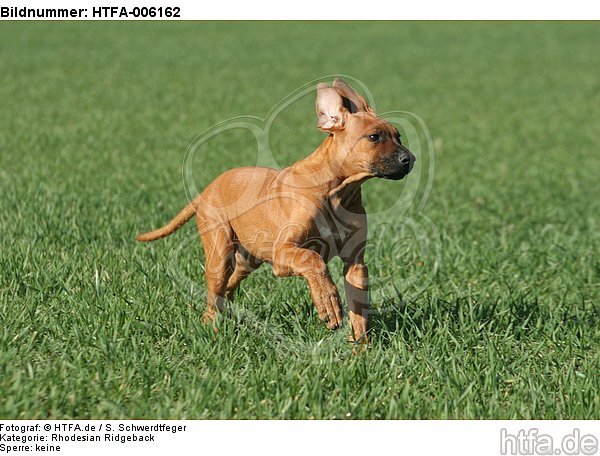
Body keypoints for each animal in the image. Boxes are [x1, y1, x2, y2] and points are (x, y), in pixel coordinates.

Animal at [138, 79, 414, 342]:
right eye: (374, 137)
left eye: (398, 136)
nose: (409, 159)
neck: (338, 191)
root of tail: (206, 190)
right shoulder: (283, 252)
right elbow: (313, 261)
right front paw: (328, 303)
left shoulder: (355, 263)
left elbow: (359, 313)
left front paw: (360, 348)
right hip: (220, 253)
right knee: (214, 295)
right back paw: (212, 329)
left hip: (247, 259)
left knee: (227, 288)